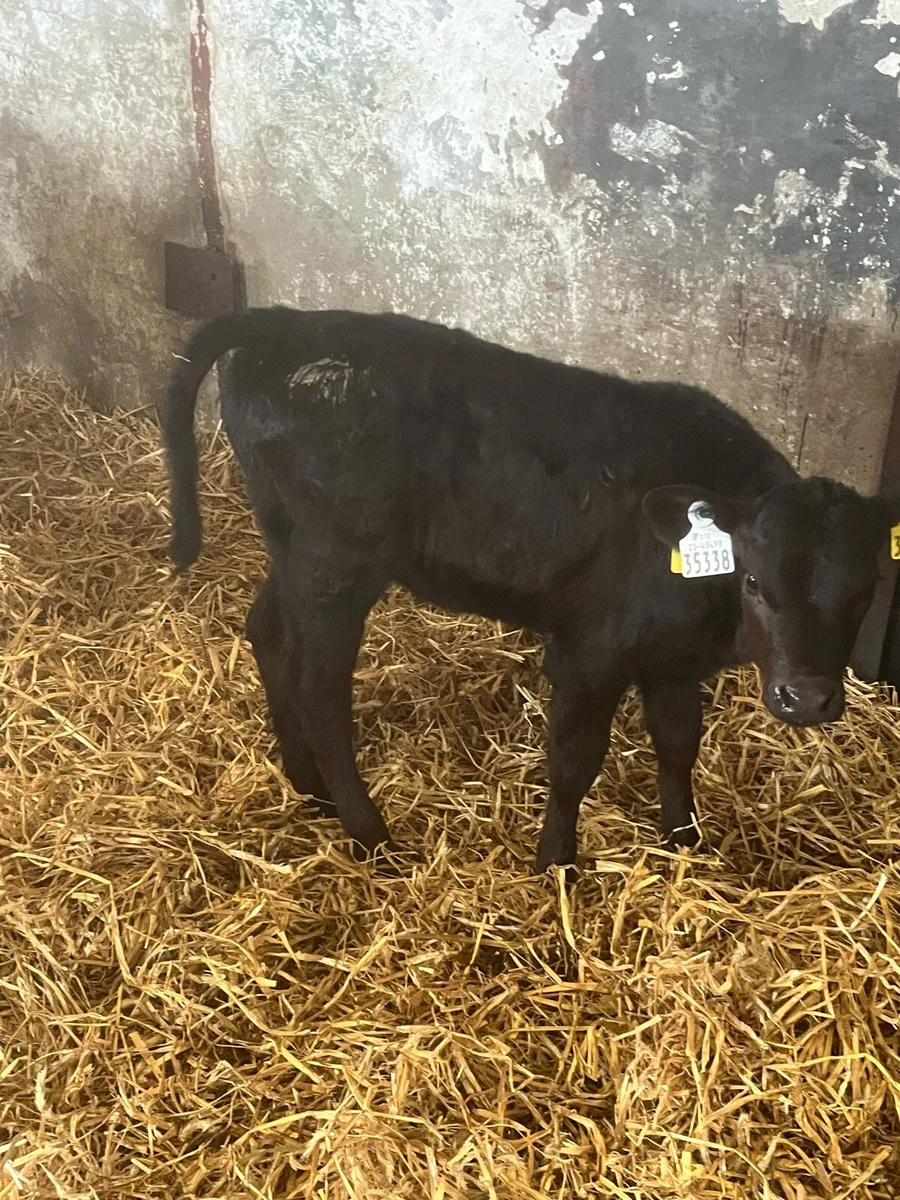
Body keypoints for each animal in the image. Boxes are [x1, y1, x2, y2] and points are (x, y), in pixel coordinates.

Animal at [160, 306, 899, 871]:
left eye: (866, 590)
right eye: (752, 576)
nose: (806, 699)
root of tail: (285, 320)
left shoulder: (671, 658)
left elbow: (678, 743)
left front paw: (684, 842)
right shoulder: (589, 649)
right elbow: (574, 761)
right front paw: (556, 864)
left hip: (293, 548)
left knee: (267, 632)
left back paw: (308, 786)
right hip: (334, 561)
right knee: (318, 683)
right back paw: (369, 832)